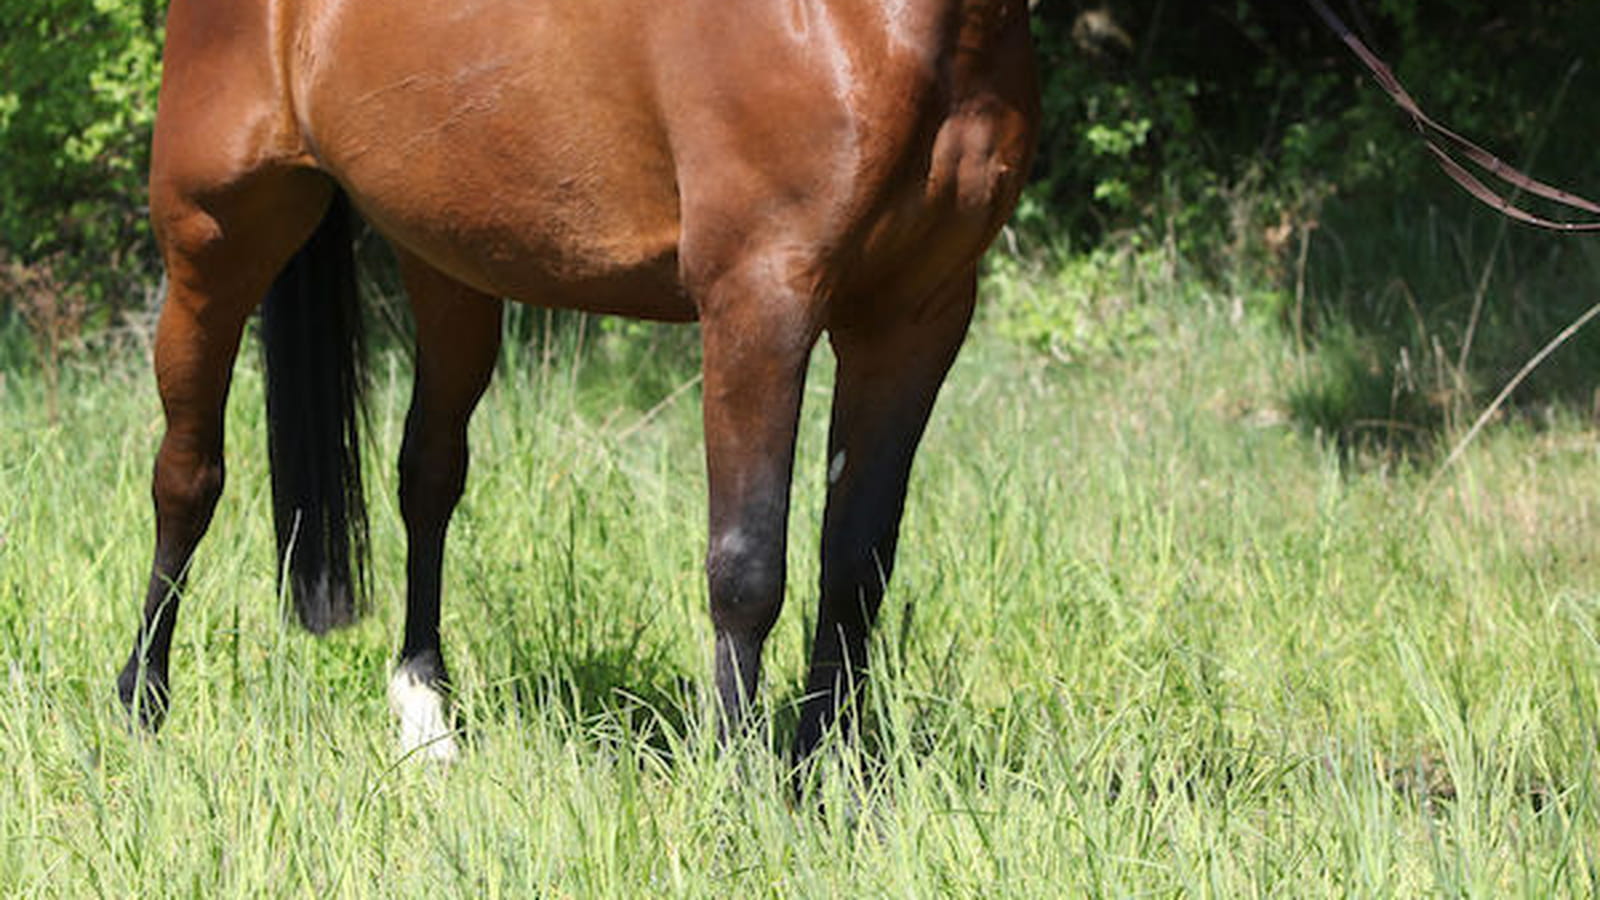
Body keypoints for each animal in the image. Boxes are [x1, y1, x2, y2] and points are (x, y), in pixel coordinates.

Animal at [115, 0, 1038, 761]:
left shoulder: (915, 317)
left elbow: (854, 565)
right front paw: (740, 791)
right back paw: (142, 705)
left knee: (427, 477)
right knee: (186, 476)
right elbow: (747, 568)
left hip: (446, 263)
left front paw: (829, 783)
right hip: (211, 239)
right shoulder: (759, 300)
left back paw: (425, 713)